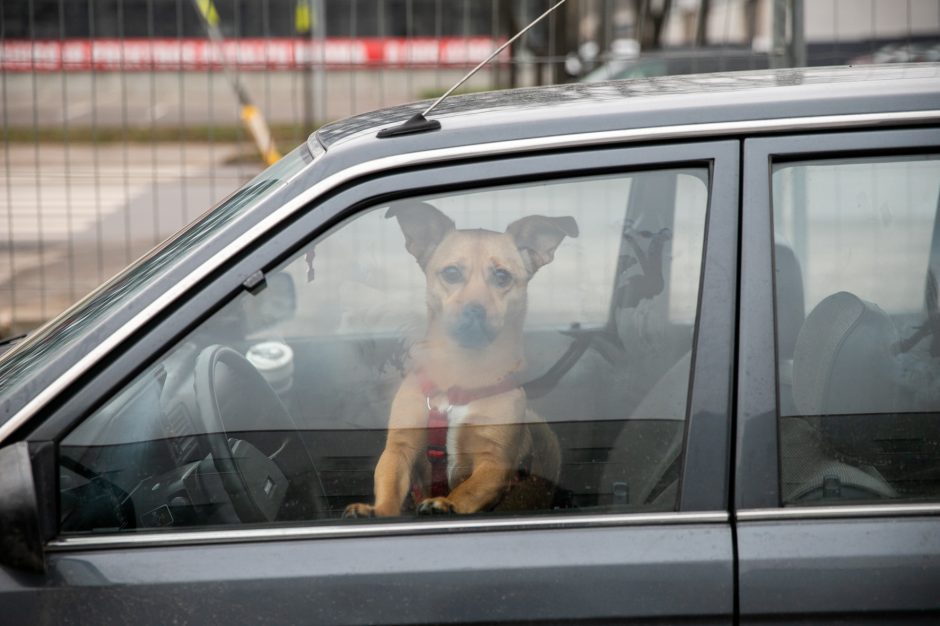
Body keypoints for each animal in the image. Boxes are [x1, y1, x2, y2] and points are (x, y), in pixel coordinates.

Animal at [346, 201, 576, 516]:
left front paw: (447, 503)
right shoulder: (399, 449)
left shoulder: (493, 463)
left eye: (502, 277)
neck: (461, 371)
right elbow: (390, 487)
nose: (474, 309)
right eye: (452, 273)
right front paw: (378, 511)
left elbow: (468, 490)